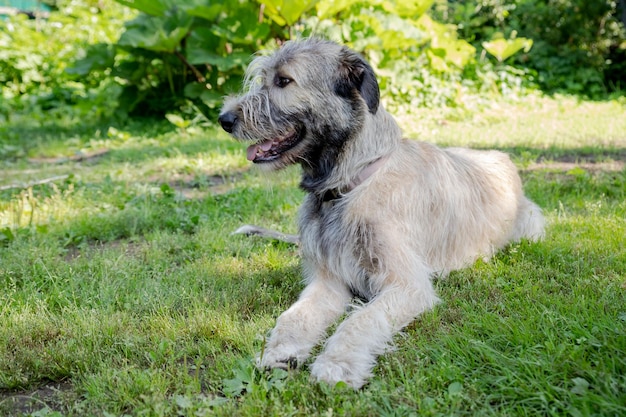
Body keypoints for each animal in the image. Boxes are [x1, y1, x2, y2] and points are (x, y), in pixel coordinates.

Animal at [218, 39, 540, 386]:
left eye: (284, 81)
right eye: (264, 78)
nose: (224, 119)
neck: (348, 183)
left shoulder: (406, 285)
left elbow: (361, 320)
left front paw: (336, 363)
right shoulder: (328, 280)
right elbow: (294, 314)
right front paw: (280, 350)